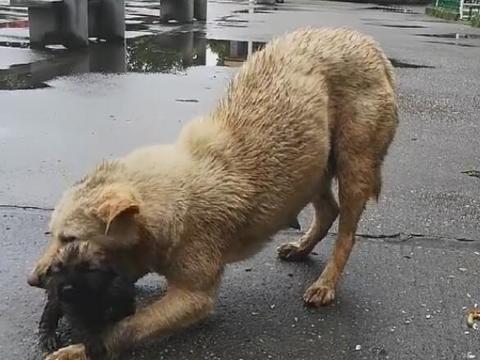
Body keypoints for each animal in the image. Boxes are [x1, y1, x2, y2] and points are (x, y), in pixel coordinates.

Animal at [31, 28, 398, 360]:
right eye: (53, 234)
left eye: (70, 238)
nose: (34, 279)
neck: (176, 197)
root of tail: (368, 44)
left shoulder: (193, 298)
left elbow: (128, 328)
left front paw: (79, 348)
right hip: (311, 169)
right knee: (327, 211)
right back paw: (302, 247)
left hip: (353, 166)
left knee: (346, 234)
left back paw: (326, 282)